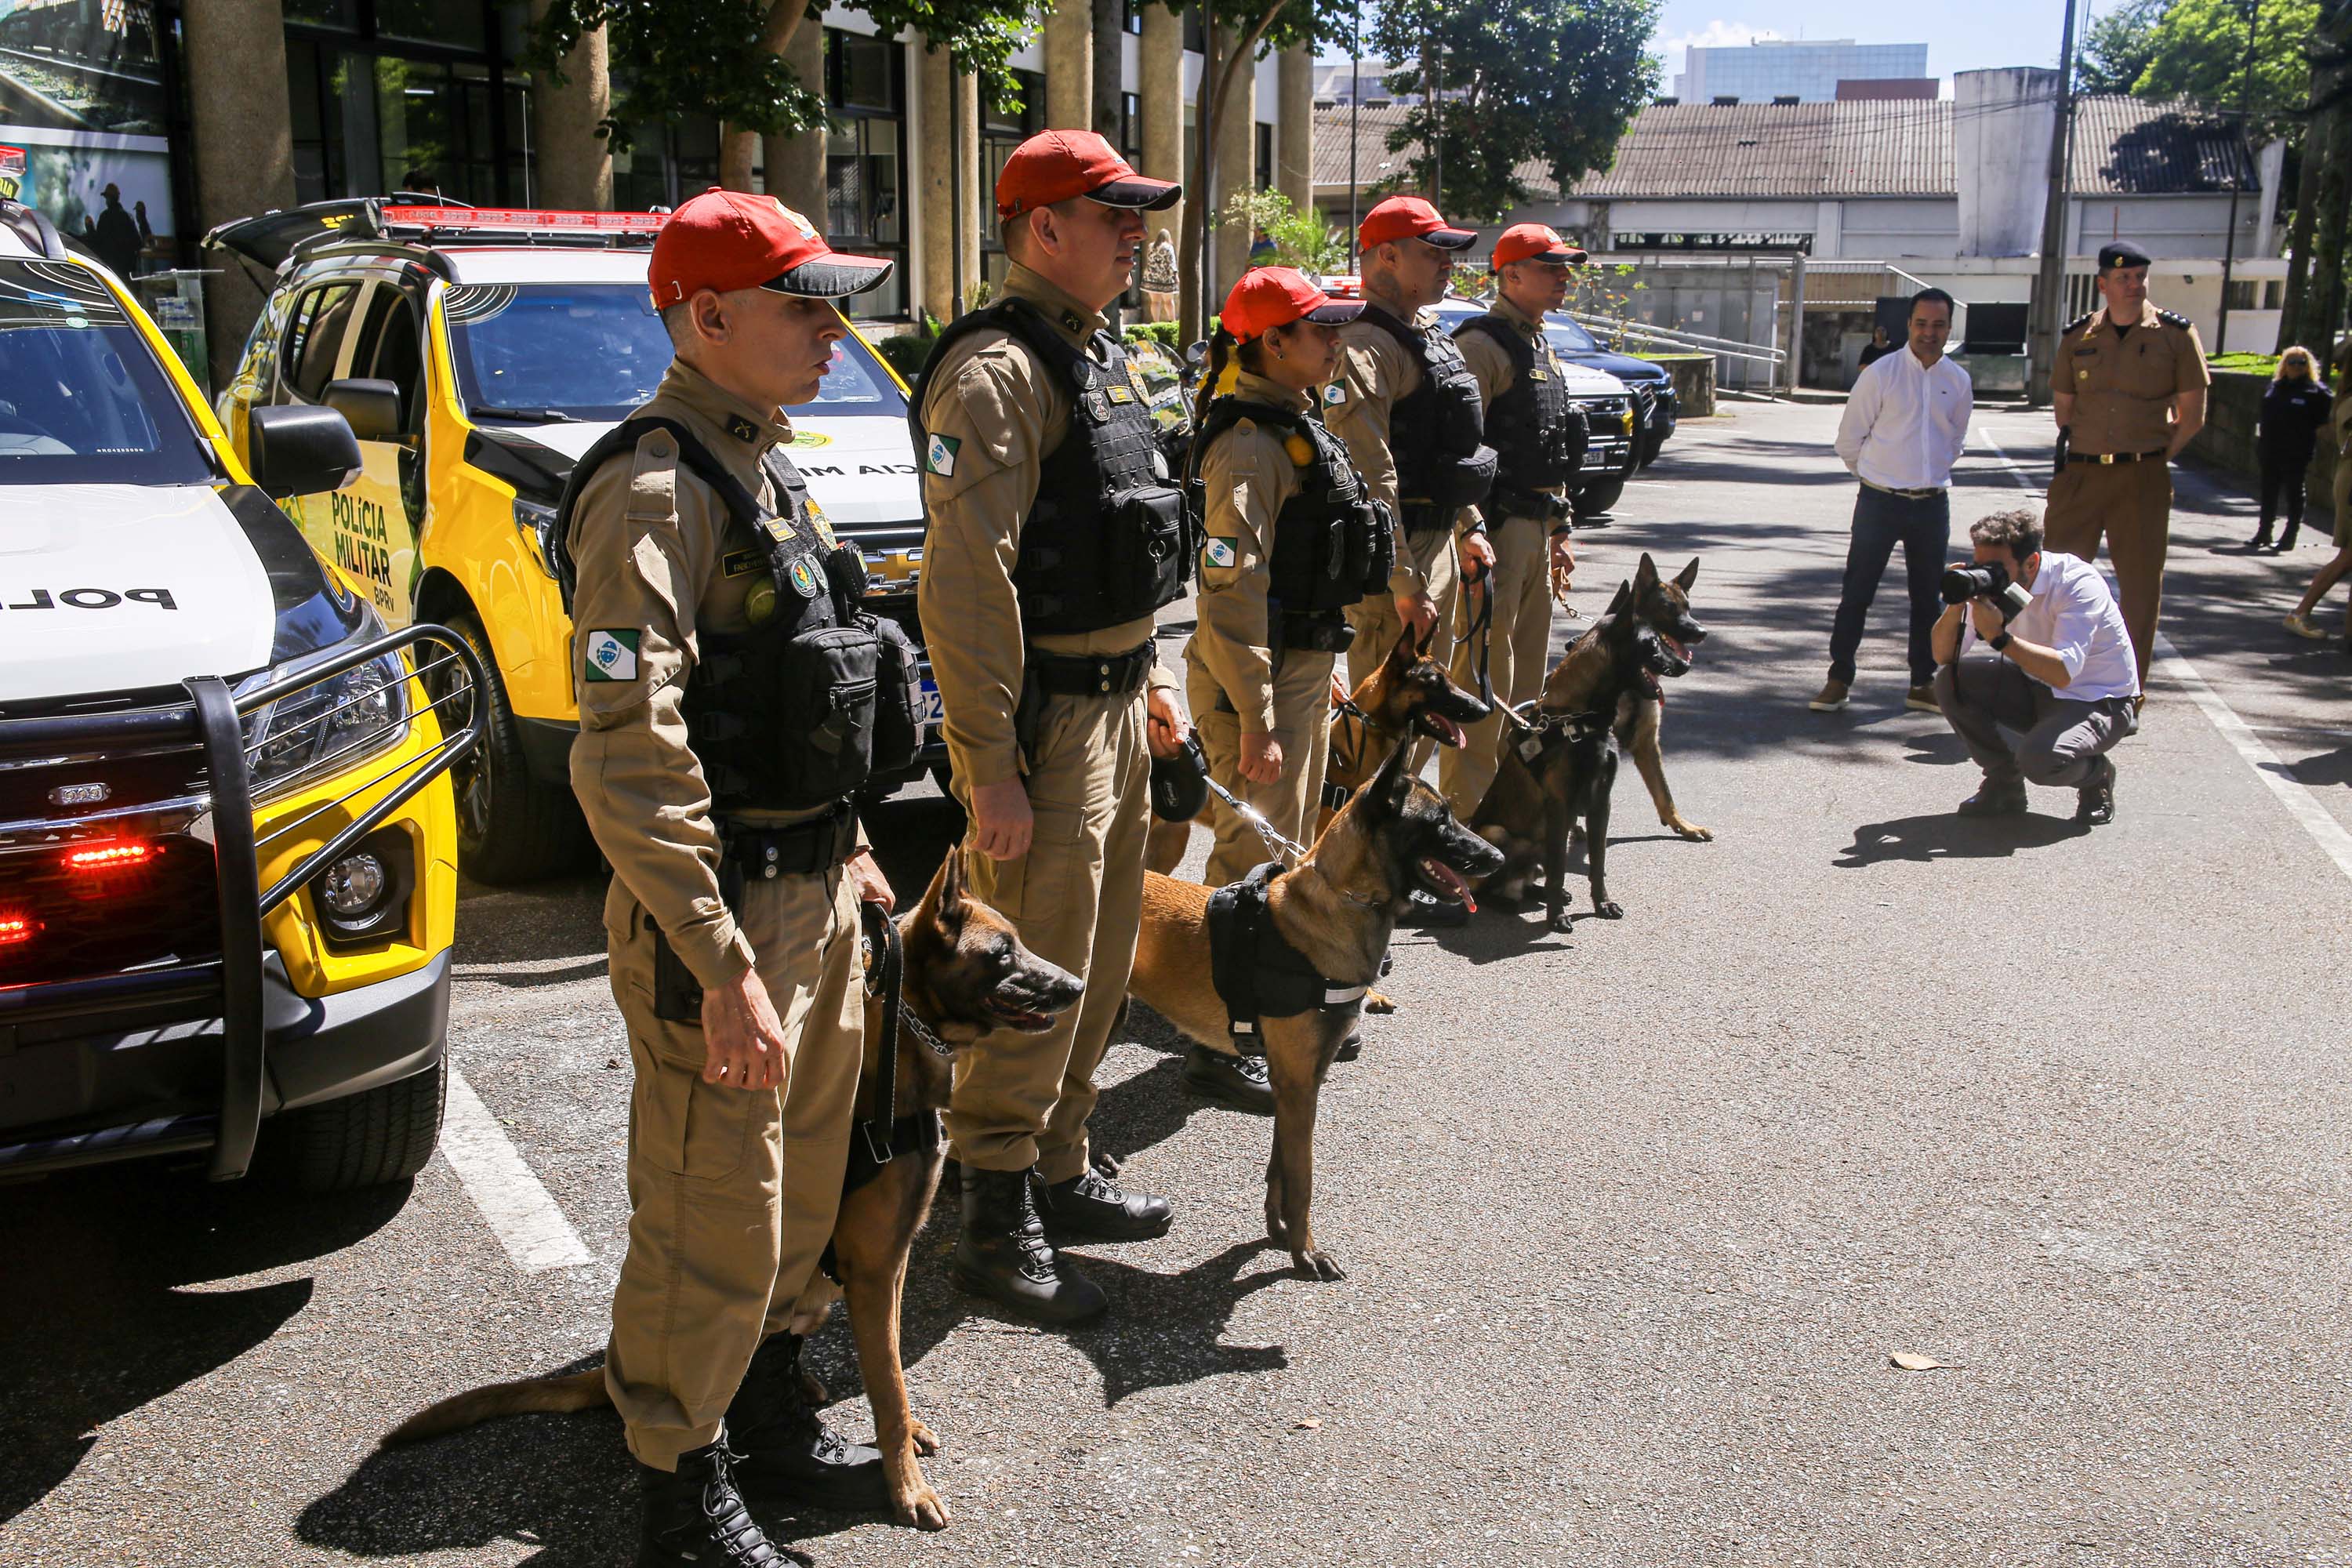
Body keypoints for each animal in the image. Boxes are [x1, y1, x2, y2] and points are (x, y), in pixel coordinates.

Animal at [379, 860, 1082, 1533]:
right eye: (1002, 953)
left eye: (1020, 942)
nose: (1076, 985)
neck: (902, 1045)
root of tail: (609, 1370)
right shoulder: (875, 1269)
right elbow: (887, 1384)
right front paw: (905, 1484)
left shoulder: (891, 1265)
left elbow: (891, 1368)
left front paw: (902, 1438)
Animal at [1124, 742, 1496, 1279]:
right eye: (1439, 819)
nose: (1498, 857)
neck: (1342, 905)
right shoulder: (1299, 1086)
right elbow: (1303, 1179)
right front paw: (1306, 1254)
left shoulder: (1299, 1082)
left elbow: (1280, 1169)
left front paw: (1279, 1234)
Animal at [1468, 575, 1693, 931]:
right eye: (1654, 643)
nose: (1685, 664)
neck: (1579, 718)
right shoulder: (1560, 806)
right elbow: (1560, 868)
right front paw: (1556, 917)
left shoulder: (1601, 803)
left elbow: (1597, 862)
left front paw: (1602, 903)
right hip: (1497, 835)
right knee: (1487, 888)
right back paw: (1510, 901)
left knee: (1531, 876)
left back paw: (1539, 893)